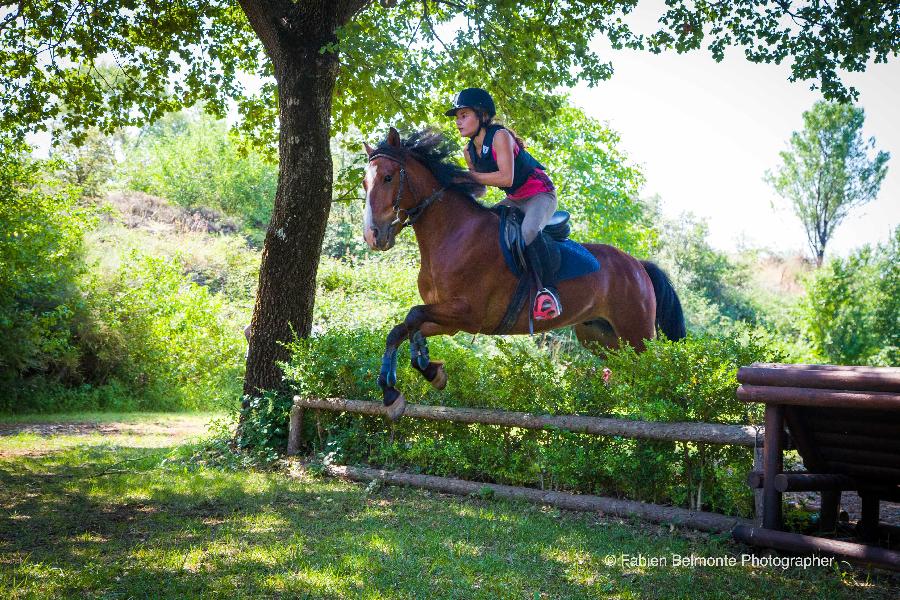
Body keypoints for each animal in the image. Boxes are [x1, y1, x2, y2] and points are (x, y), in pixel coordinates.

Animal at [362, 126, 684, 418]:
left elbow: (412, 316)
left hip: (637, 334)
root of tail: (638, 265)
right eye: (364, 183)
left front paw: (412, 376)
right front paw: (407, 384)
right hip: (601, 337)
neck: (452, 233)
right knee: (630, 373)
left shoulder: (468, 313)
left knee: (655, 370)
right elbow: (402, 328)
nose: (373, 236)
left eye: (388, 177)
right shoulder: (449, 318)